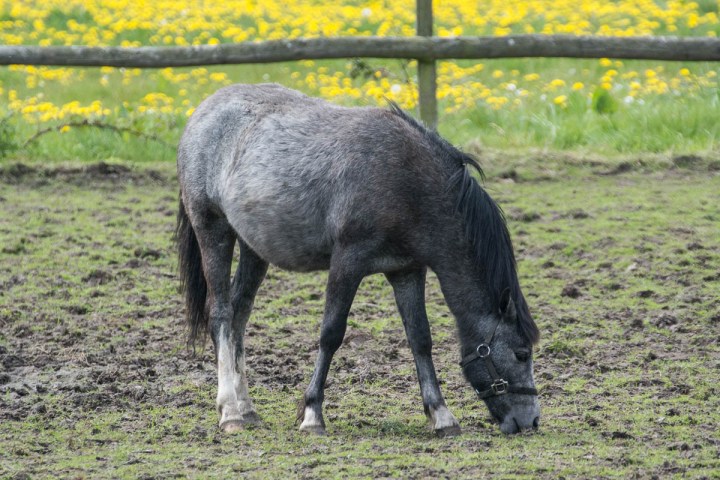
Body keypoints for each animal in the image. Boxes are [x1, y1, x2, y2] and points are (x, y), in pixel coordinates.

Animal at [176, 83, 540, 436]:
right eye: (521, 354)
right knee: (222, 314)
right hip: (213, 230)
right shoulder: (347, 263)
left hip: (254, 250)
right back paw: (231, 412)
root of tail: (202, 114)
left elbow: (420, 338)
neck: (408, 180)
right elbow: (331, 334)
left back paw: (247, 408)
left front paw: (441, 415)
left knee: (239, 315)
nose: (531, 421)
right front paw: (312, 415)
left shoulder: (407, 270)